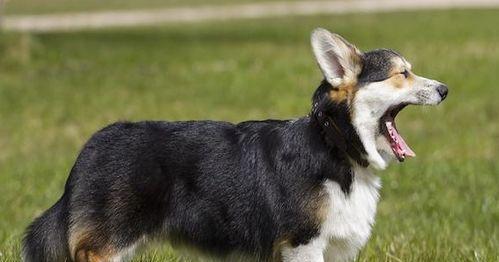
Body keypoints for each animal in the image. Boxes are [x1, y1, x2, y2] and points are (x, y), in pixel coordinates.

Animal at [22, 27, 450, 260]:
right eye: (402, 74)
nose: (445, 89)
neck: (334, 143)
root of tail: (90, 147)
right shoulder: (303, 243)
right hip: (109, 244)